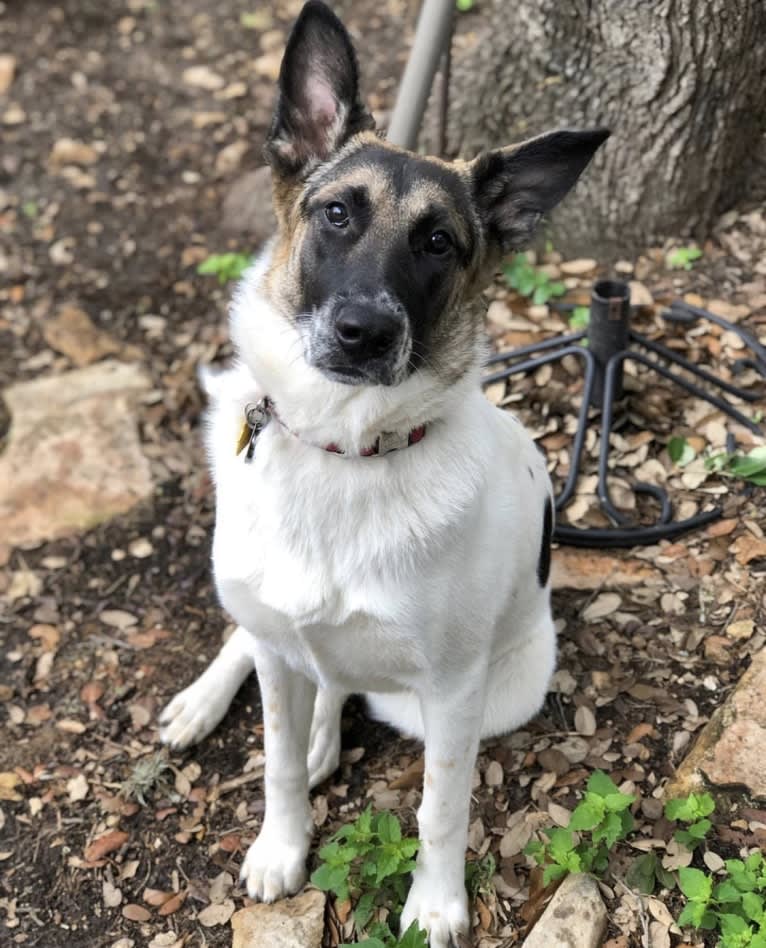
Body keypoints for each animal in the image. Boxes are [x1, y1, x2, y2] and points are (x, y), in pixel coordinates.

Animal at [159, 3, 608, 944]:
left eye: (438, 242)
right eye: (335, 214)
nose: (366, 332)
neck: (344, 452)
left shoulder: (454, 690)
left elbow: (441, 808)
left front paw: (435, 902)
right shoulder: (278, 656)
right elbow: (275, 761)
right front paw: (282, 847)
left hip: (498, 685)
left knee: (340, 682)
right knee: (266, 644)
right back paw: (209, 700)